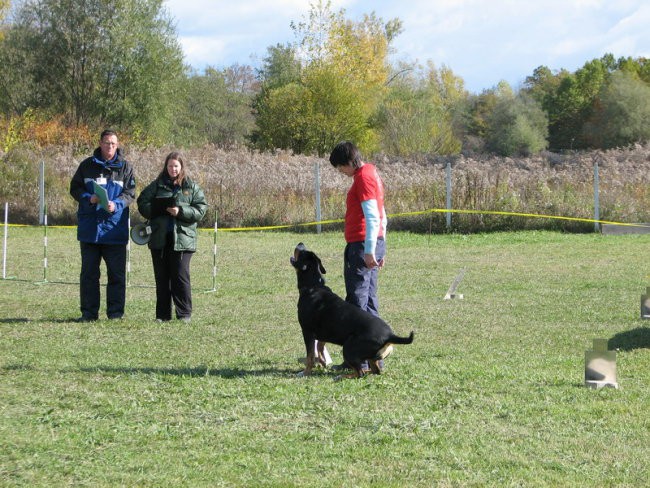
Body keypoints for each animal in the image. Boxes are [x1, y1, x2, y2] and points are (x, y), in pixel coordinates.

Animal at [290, 243, 412, 378]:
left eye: (302, 252)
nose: (300, 243)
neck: (313, 285)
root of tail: (390, 336)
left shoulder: (308, 331)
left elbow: (310, 356)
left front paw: (305, 372)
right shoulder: (323, 331)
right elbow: (320, 347)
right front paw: (322, 362)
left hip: (348, 347)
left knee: (360, 373)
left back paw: (342, 376)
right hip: (368, 355)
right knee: (375, 371)